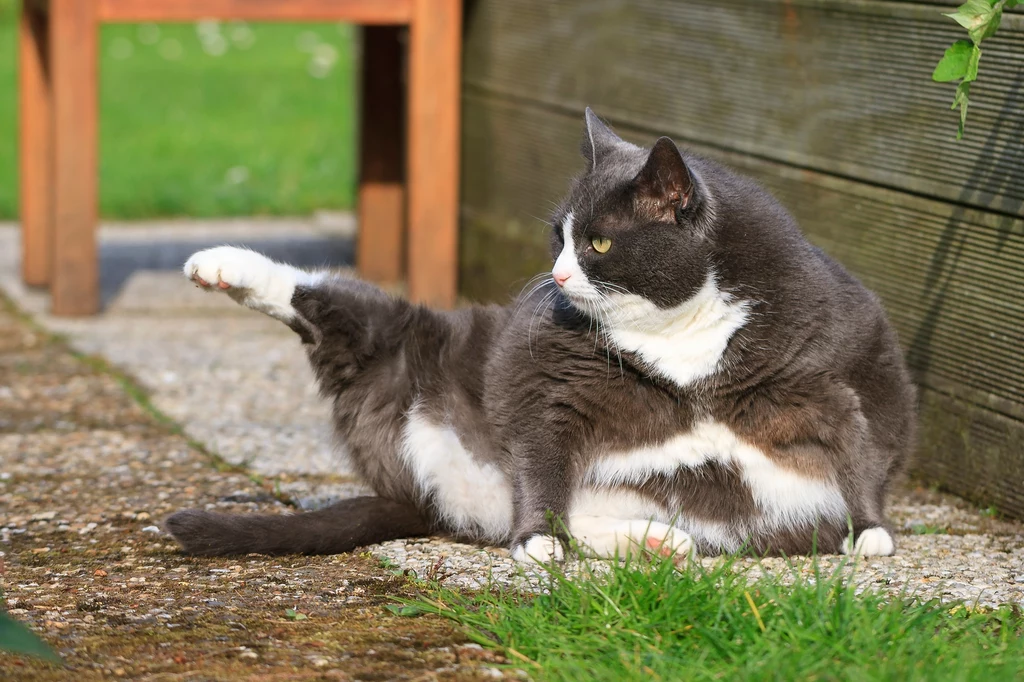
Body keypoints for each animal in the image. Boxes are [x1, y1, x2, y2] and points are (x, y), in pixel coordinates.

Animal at [163, 109, 917, 561]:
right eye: (559, 236)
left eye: (599, 242)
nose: (554, 277)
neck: (682, 339)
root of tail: (425, 494)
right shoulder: (548, 383)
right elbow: (542, 452)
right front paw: (535, 544)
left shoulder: (845, 370)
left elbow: (862, 447)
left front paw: (871, 532)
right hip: (401, 342)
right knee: (331, 308)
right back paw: (217, 265)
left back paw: (658, 543)